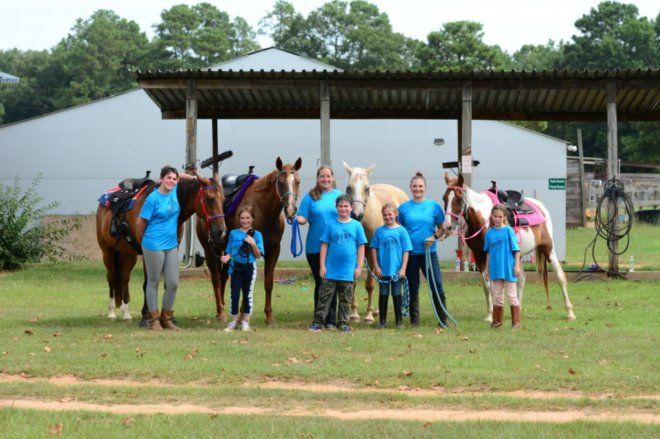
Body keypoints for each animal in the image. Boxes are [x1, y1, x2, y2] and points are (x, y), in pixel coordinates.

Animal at [96, 174, 227, 320]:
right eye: (210, 199)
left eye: (223, 200)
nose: (221, 231)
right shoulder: (147, 252)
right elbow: (148, 282)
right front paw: (147, 314)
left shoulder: (171, 250)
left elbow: (166, 283)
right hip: (107, 251)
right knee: (112, 277)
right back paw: (111, 312)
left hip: (127, 254)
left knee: (124, 278)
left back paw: (126, 314)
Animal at [197, 156, 302, 324]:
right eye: (280, 182)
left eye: (297, 181)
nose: (291, 210)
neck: (262, 210)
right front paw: (242, 316)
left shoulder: (274, 249)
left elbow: (268, 282)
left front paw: (269, 316)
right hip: (209, 250)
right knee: (215, 278)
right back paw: (220, 313)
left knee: (223, 277)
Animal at [342, 162, 410, 324]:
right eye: (348, 188)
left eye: (367, 189)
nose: (357, 214)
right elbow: (353, 281)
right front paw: (353, 314)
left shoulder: (370, 251)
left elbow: (370, 285)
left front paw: (368, 316)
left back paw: (376, 311)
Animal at [440, 174, 576, 322]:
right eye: (444, 198)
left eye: (459, 198)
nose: (446, 226)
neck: (483, 219)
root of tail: (541, 207)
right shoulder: (479, 254)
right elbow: (487, 285)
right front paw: (490, 314)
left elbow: (494, 284)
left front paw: (493, 314)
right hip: (519, 254)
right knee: (522, 279)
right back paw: (518, 309)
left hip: (548, 247)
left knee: (560, 276)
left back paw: (570, 313)